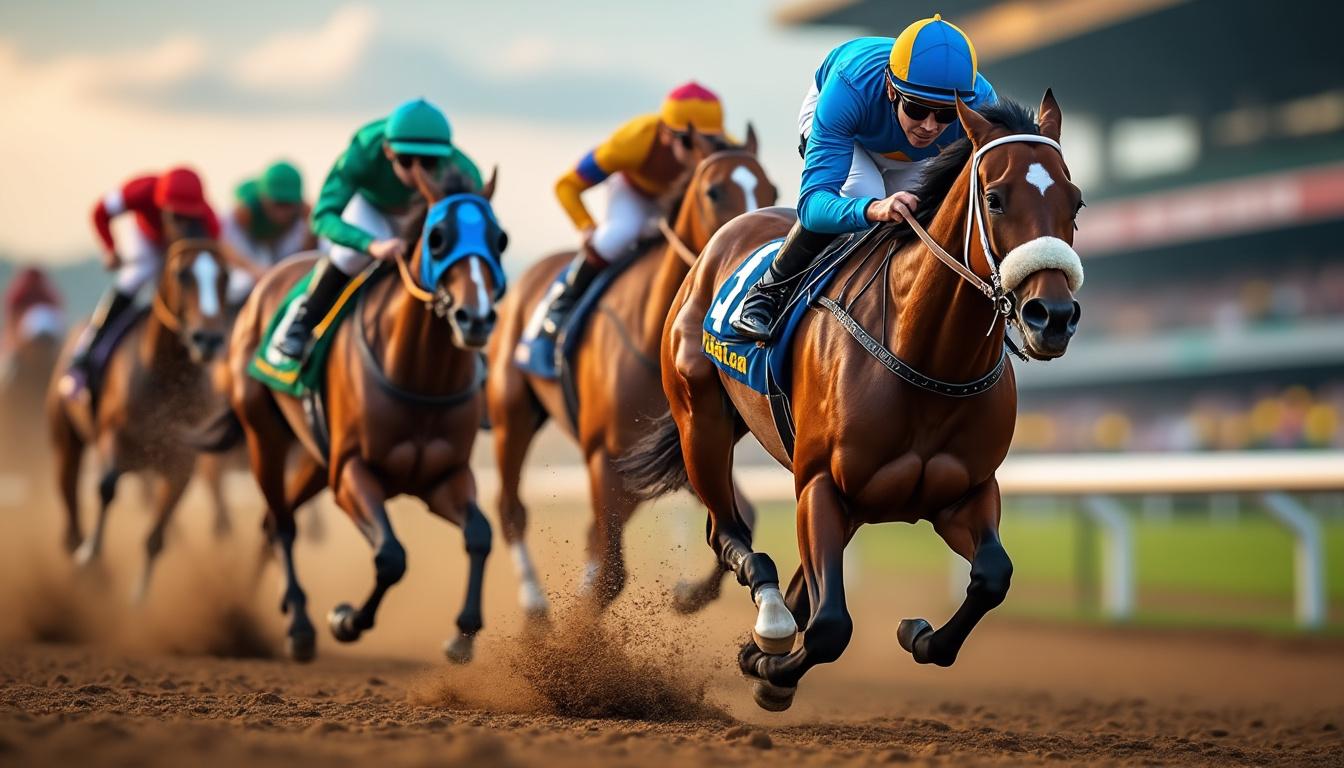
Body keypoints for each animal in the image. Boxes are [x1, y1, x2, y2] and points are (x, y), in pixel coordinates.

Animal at [47, 238, 236, 602]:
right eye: (182, 274)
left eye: (225, 276)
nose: (208, 339)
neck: (167, 377)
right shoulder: (112, 435)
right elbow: (106, 487)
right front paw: (89, 556)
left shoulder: (182, 461)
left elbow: (156, 535)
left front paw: (139, 597)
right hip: (66, 442)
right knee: (70, 503)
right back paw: (84, 560)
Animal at [198, 170, 505, 663]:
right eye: (438, 238)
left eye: (499, 240)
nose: (475, 319)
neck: (421, 379)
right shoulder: (351, 473)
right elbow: (391, 556)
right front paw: (345, 620)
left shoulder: (444, 478)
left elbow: (480, 534)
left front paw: (462, 634)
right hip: (265, 437)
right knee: (281, 524)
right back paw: (296, 625)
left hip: (313, 460)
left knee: (271, 521)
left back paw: (258, 610)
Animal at [486, 128, 777, 616]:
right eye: (714, 191)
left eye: (770, 190)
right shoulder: (604, 456)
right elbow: (611, 573)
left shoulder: (671, 450)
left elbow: (742, 518)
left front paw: (688, 595)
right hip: (513, 415)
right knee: (511, 509)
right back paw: (534, 607)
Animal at [619, 92, 1084, 711]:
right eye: (995, 198)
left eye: (1076, 202)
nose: (1051, 317)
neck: (929, 358)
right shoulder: (819, 484)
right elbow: (830, 627)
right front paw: (768, 668)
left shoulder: (966, 491)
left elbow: (993, 576)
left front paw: (918, 634)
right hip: (702, 421)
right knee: (727, 533)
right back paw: (768, 618)